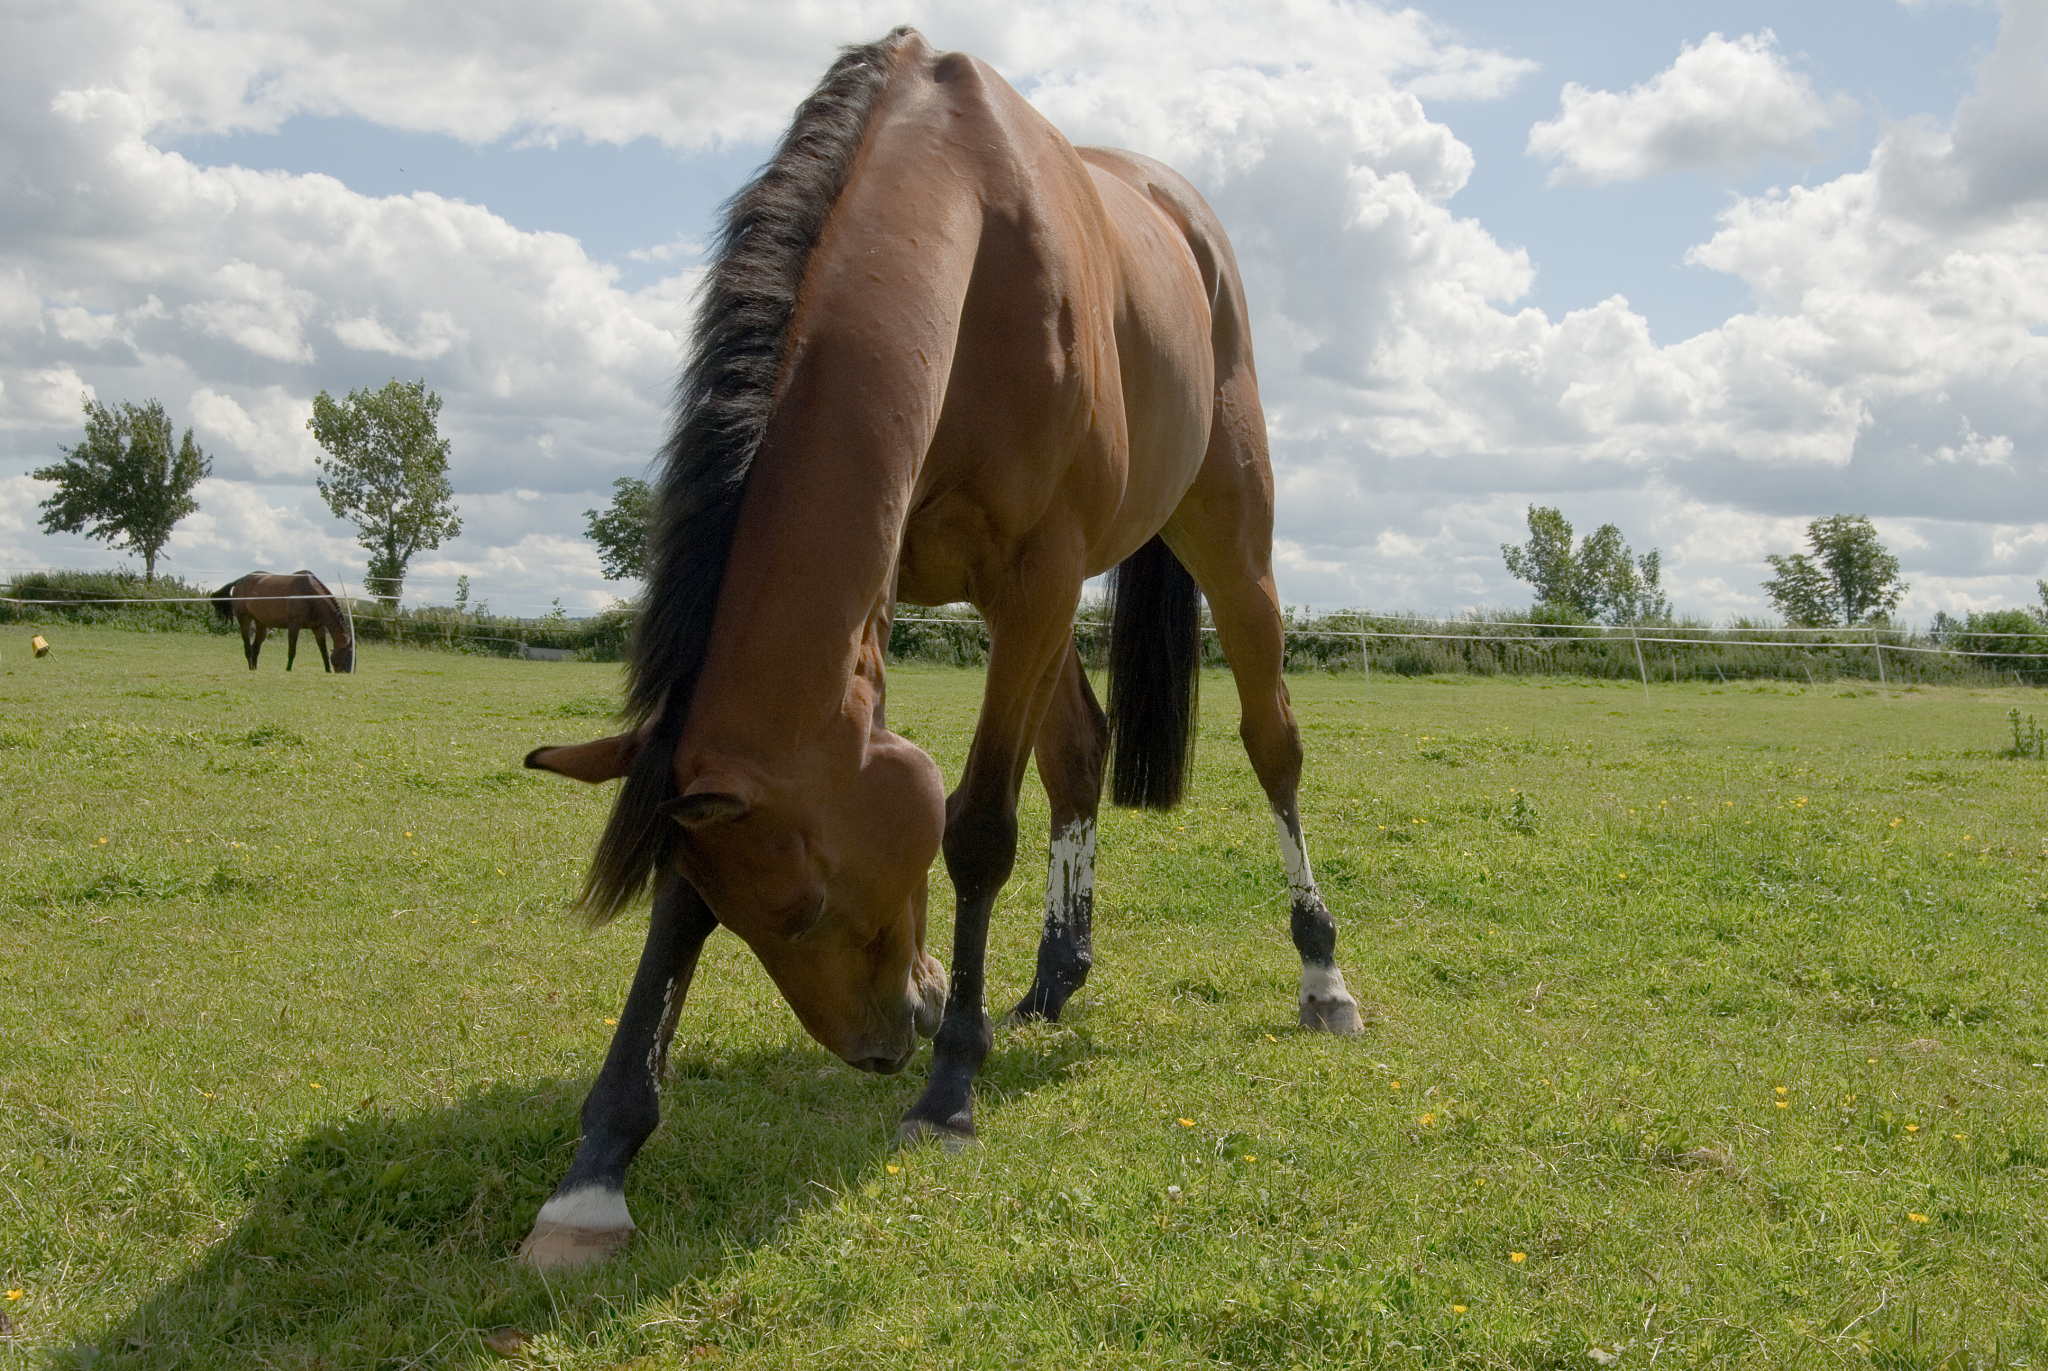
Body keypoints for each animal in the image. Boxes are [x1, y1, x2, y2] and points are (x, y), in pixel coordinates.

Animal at [211, 571, 355, 673]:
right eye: (348, 656)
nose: (348, 673)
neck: (310, 595)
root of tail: (240, 581)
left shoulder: (318, 628)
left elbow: (323, 651)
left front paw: (327, 670)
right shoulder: (294, 627)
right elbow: (292, 650)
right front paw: (288, 669)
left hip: (261, 624)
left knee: (255, 648)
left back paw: (255, 669)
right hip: (245, 619)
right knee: (247, 646)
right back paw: (251, 668)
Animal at [517, 27, 1365, 1270]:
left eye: (802, 908)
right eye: (748, 910)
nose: (892, 1038)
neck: (962, 239)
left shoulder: (1036, 579)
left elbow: (975, 831)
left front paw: (950, 1093)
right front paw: (596, 1172)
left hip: (1221, 536)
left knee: (1272, 743)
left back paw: (1319, 974)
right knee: (1080, 751)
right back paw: (1054, 979)